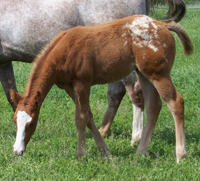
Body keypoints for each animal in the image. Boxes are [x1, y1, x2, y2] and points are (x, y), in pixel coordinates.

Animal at [0, 0, 186, 147]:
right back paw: (103, 131)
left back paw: (136, 138)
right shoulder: (4, 62)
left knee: (135, 92)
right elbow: (12, 97)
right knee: (116, 93)